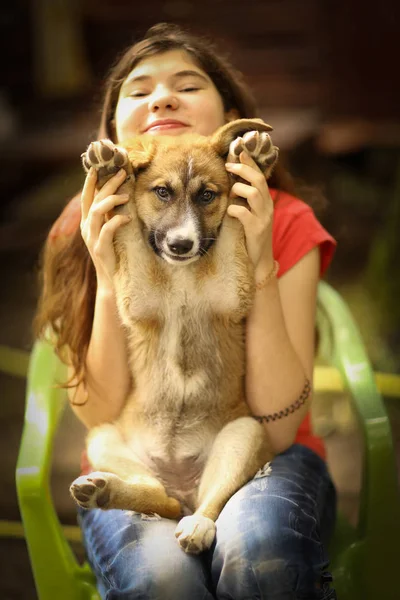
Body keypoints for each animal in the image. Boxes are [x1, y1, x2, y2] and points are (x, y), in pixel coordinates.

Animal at [70, 117, 280, 552]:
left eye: (207, 195)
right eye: (162, 192)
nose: (182, 244)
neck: (182, 275)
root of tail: (182, 490)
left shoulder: (231, 290)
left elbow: (234, 224)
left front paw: (250, 159)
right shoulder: (138, 297)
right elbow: (128, 222)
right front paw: (111, 168)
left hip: (244, 433)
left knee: (209, 502)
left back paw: (196, 525)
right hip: (102, 438)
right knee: (156, 496)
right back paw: (105, 491)